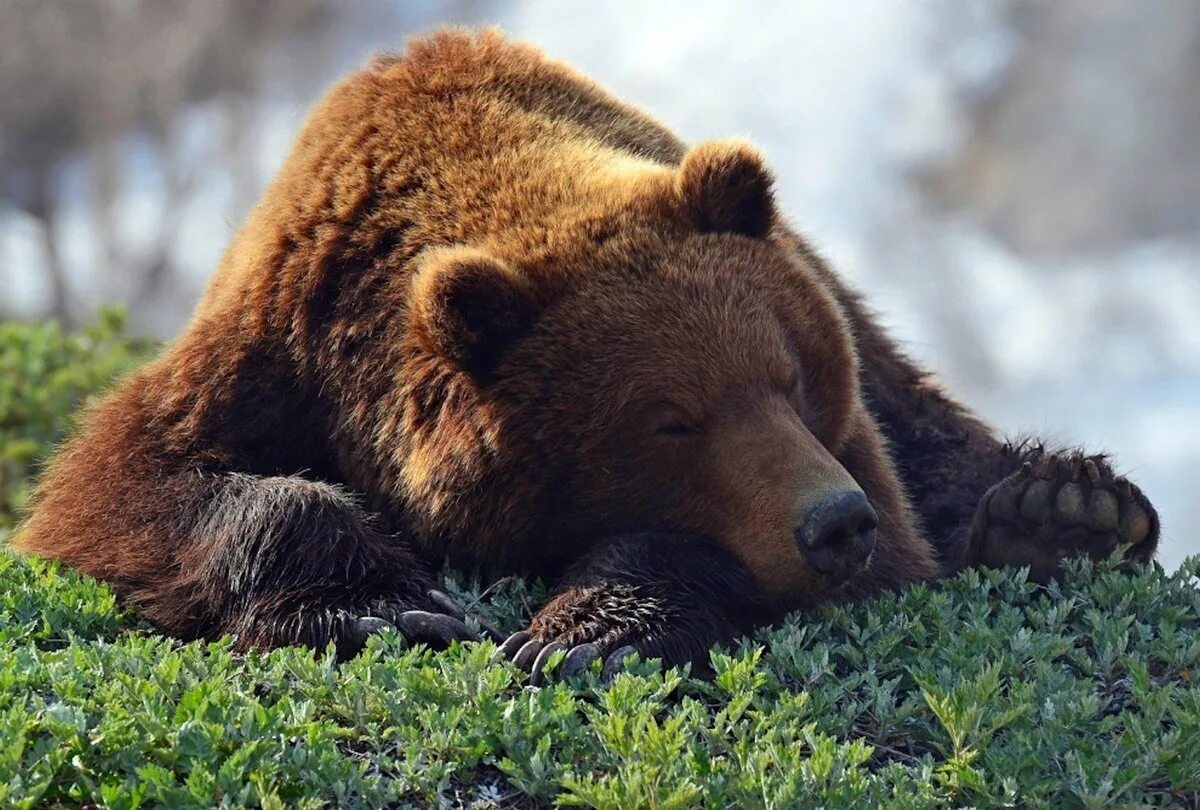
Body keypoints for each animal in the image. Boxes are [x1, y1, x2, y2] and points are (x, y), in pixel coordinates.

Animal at [14, 30, 1156, 676]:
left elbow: (881, 538)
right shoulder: (272, 341)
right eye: (671, 419)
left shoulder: (849, 438)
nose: (834, 522)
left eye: (788, 380)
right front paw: (387, 607)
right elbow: (123, 488)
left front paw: (584, 629)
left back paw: (1064, 508)